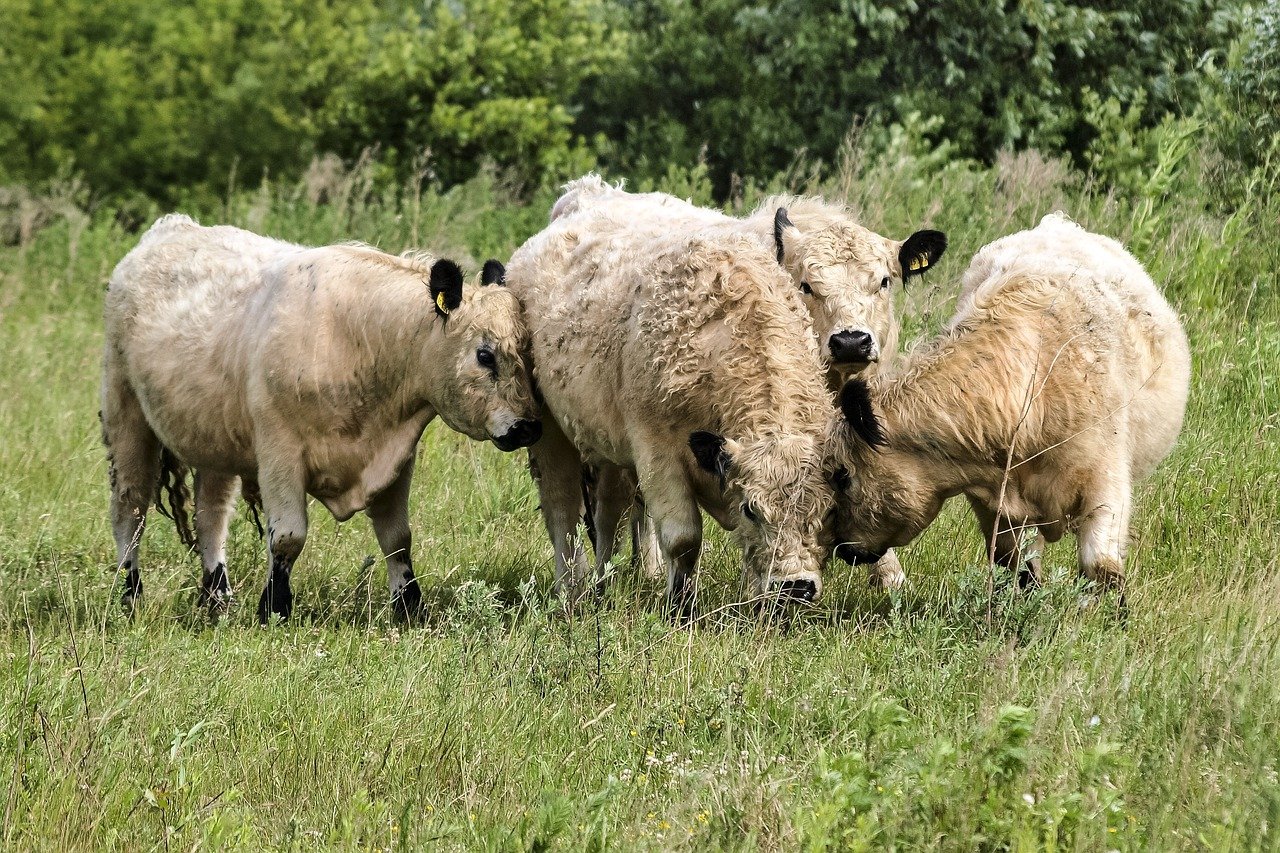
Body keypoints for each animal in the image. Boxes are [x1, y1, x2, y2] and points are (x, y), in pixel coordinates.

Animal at [101, 216, 540, 622]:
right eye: (484, 355)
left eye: (527, 350)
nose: (529, 426)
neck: (358, 339)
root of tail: (171, 226)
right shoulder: (279, 454)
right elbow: (288, 537)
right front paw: (274, 608)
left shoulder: (397, 457)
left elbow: (397, 537)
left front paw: (409, 606)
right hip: (126, 419)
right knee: (130, 510)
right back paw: (130, 596)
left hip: (214, 442)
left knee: (211, 515)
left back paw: (217, 598)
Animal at [504, 204, 834, 612]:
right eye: (751, 509)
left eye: (826, 510)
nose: (796, 587)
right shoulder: (658, 454)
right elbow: (683, 539)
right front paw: (680, 606)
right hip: (551, 432)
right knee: (562, 510)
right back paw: (571, 591)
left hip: (609, 448)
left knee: (608, 513)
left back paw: (602, 584)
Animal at [824, 211, 1192, 596]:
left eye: (843, 475)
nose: (842, 547)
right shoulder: (996, 511)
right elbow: (1019, 572)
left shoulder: (1106, 489)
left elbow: (1103, 572)